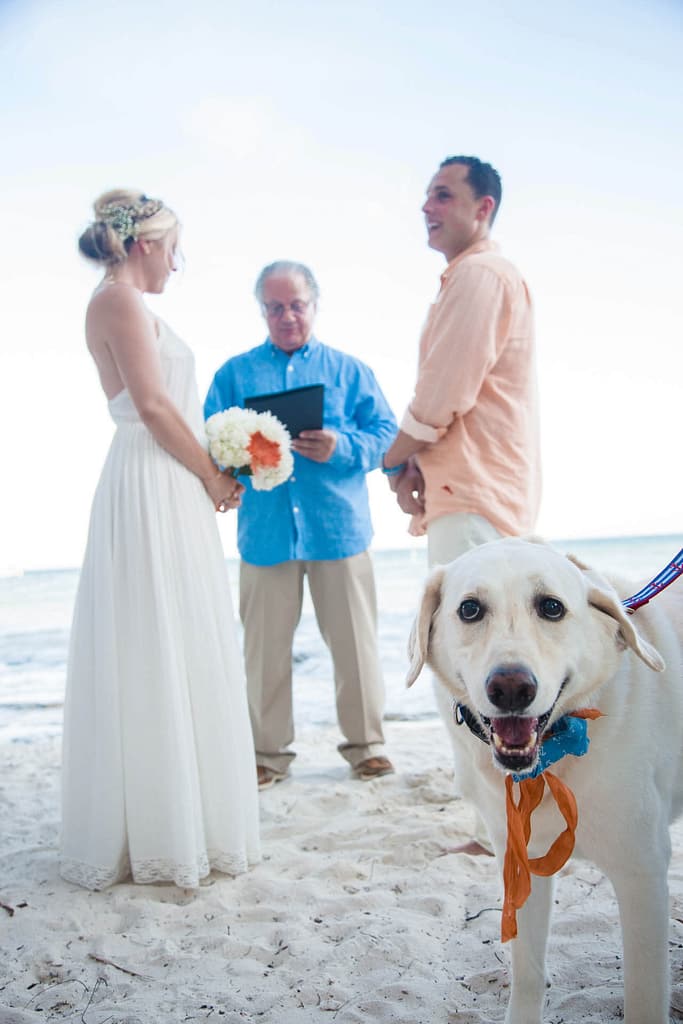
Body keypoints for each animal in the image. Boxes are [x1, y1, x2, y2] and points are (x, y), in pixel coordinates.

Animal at [409, 536, 679, 1024]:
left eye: (551, 607)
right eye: (470, 609)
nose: (512, 688)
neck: (553, 757)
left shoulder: (642, 872)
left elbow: (645, 994)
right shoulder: (518, 857)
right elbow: (528, 971)